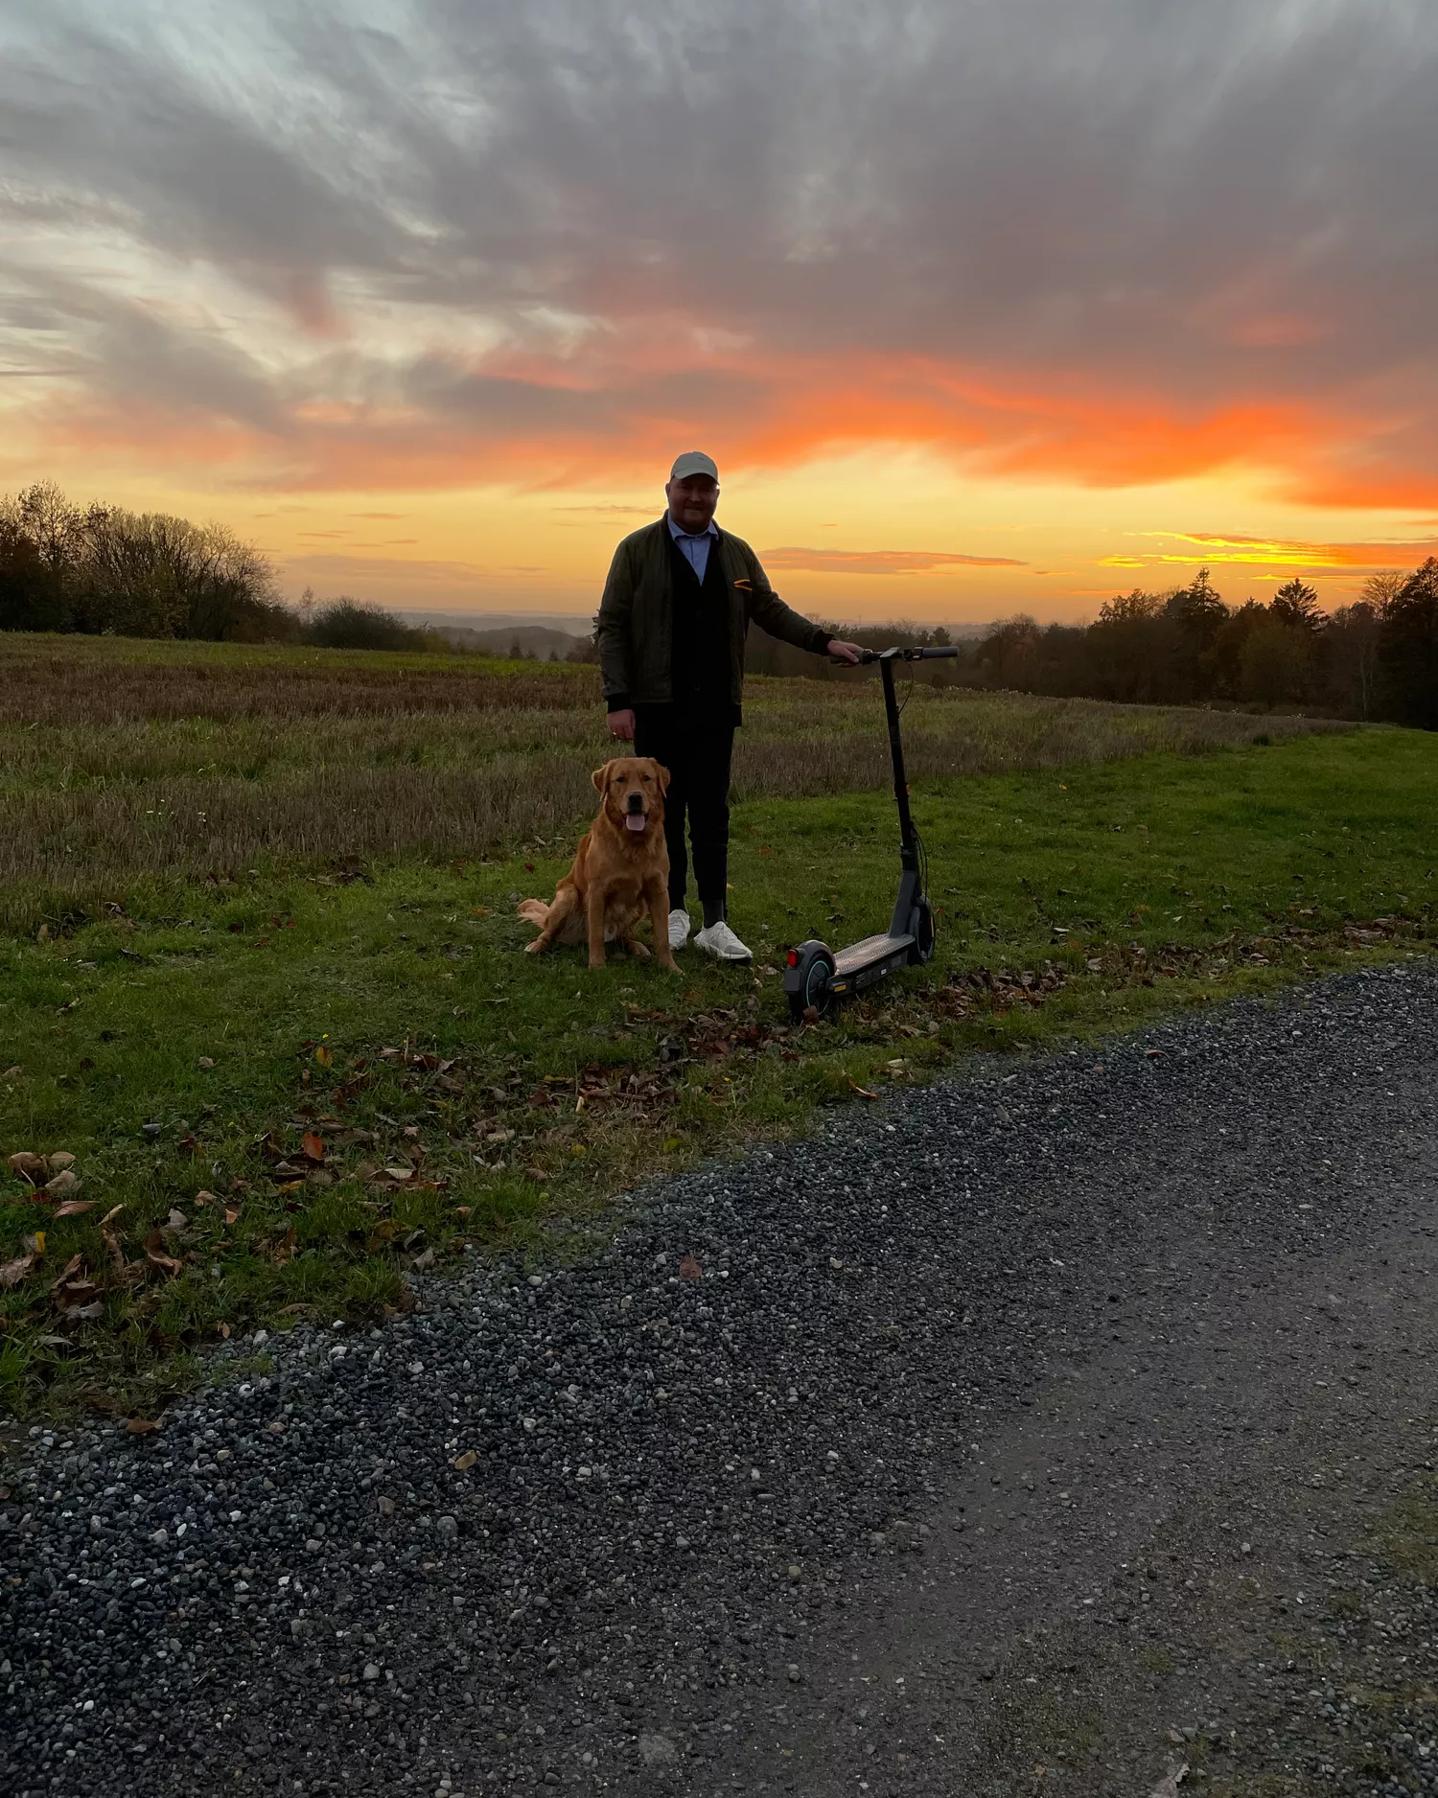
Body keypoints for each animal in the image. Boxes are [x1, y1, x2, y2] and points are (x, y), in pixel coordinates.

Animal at [517, 762, 679, 978]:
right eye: (620, 779)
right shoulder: (597, 891)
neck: (633, 843)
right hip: (568, 895)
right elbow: (595, 935)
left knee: (624, 935)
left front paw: (670, 967)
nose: (635, 798)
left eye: (647, 778)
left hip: (641, 906)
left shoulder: (659, 891)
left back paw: (637, 947)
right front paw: (597, 966)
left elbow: (663, 936)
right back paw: (536, 945)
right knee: (549, 931)